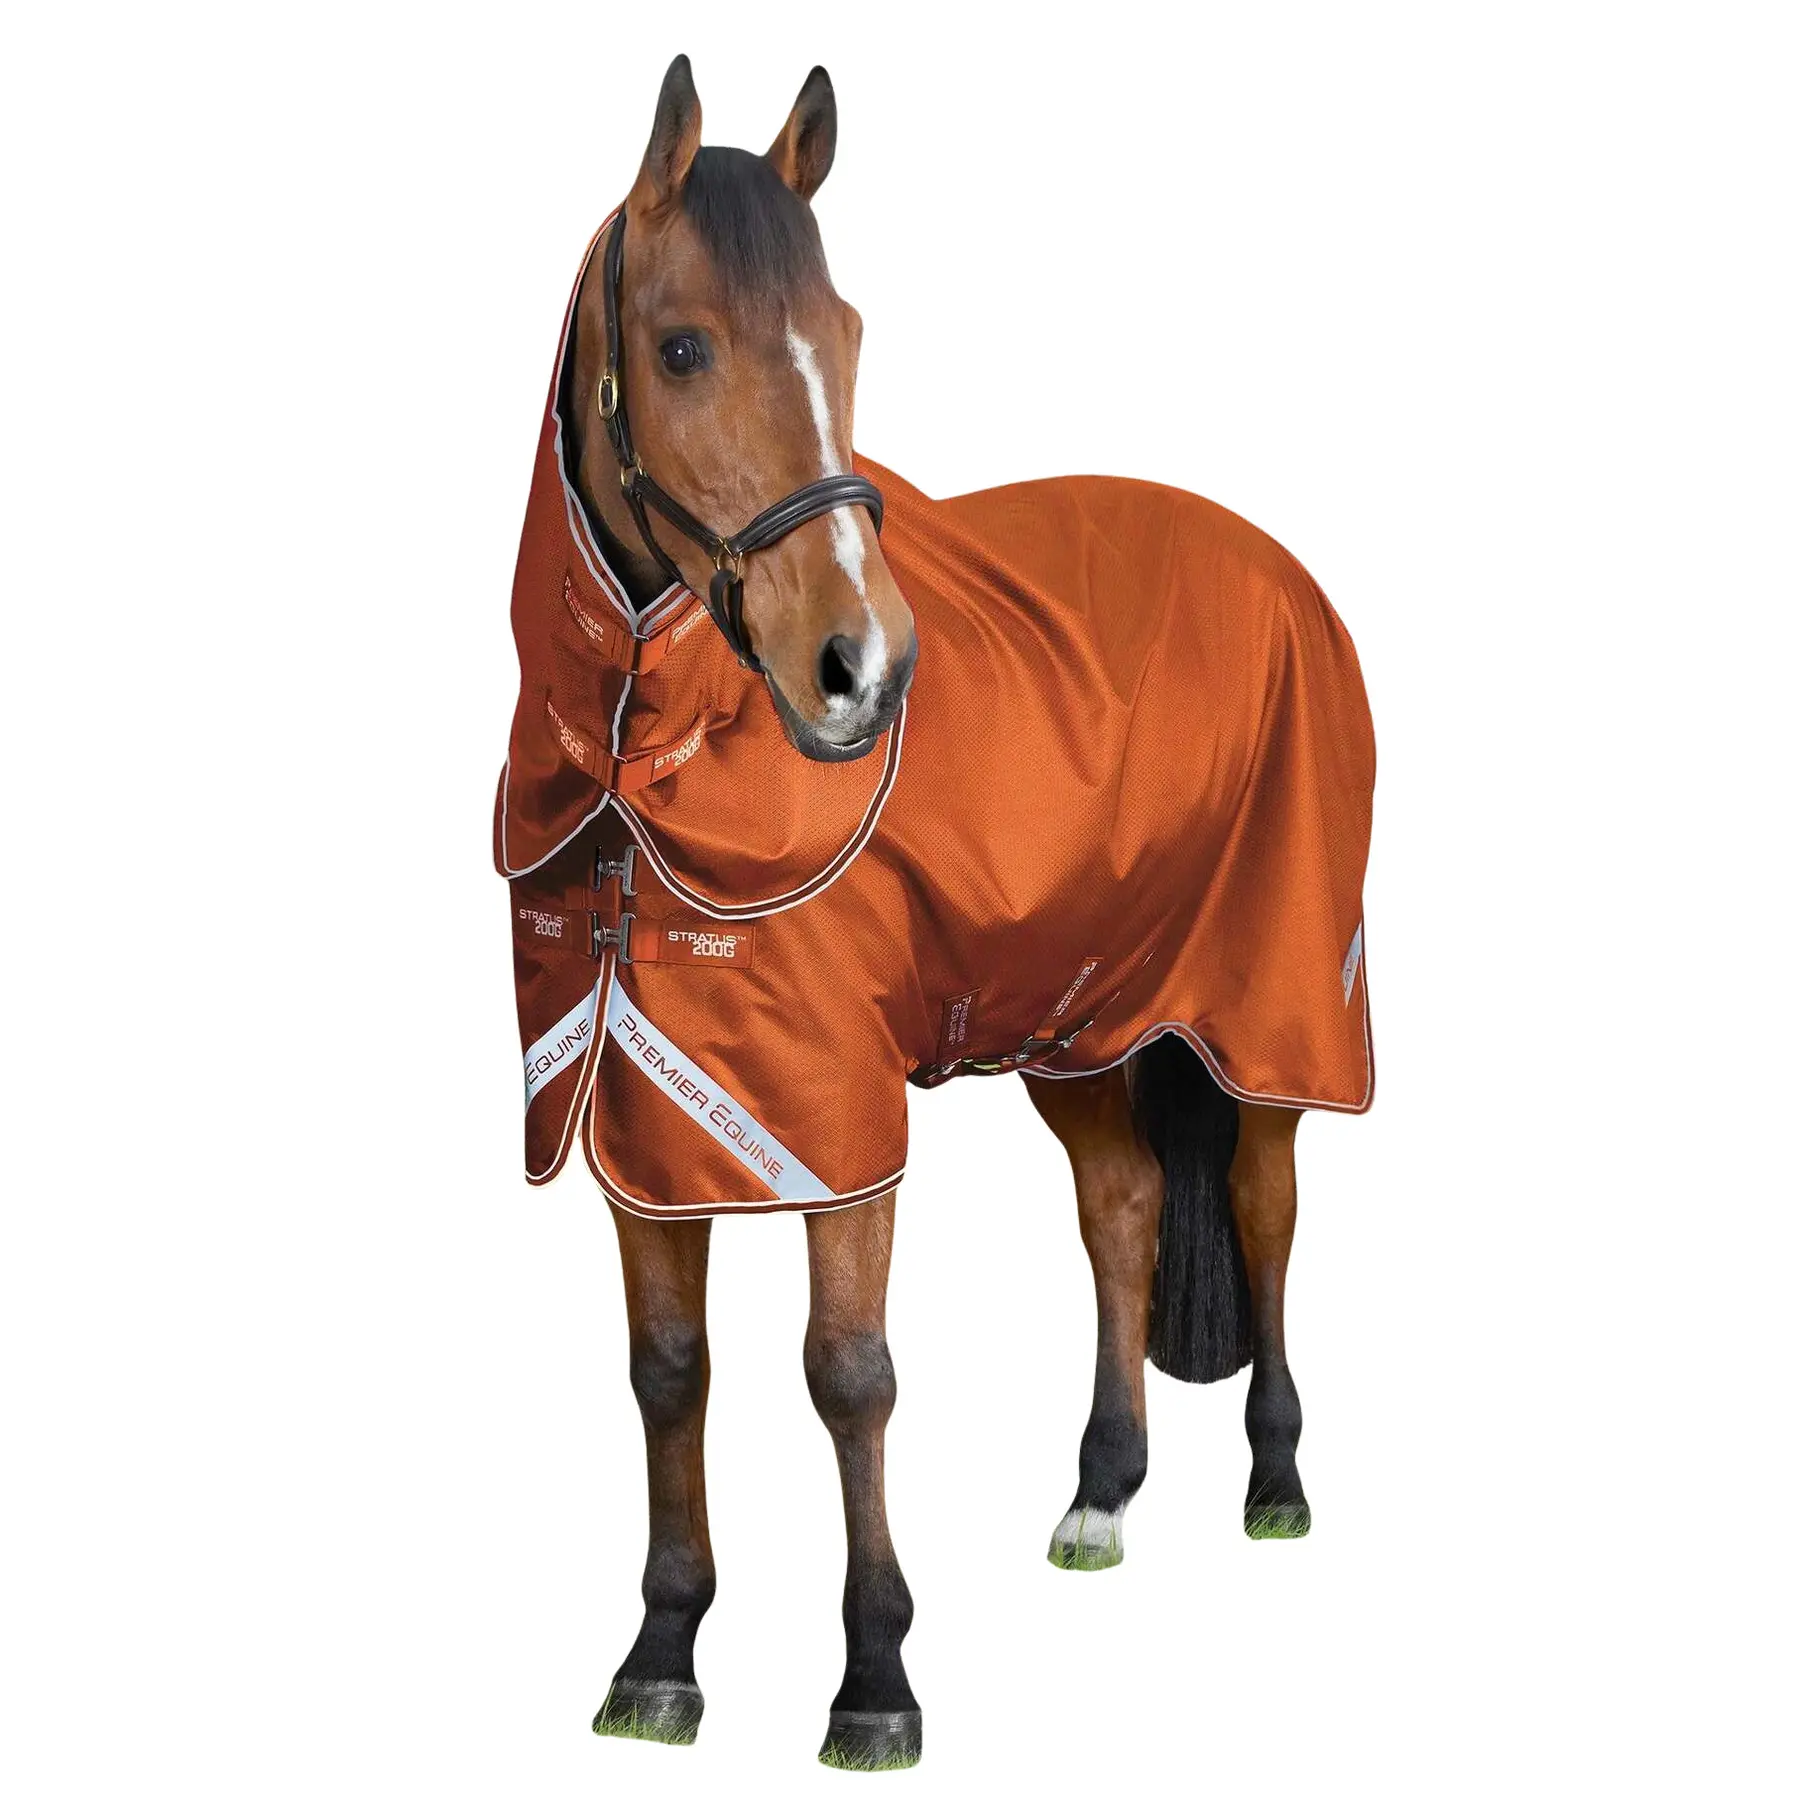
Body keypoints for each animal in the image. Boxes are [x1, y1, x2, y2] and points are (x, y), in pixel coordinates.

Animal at [495, 55, 1375, 1771]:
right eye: (683, 345)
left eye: (845, 337)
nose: (864, 670)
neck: (651, 764)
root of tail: (1276, 566)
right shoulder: (643, 1109)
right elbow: (668, 1373)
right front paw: (661, 1655)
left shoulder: (830, 1118)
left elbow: (848, 1374)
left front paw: (875, 1679)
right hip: (1084, 1022)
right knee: (1121, 1209)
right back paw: (1101, 1497)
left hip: (1269, 1006)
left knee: (1263, 1200)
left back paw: (1278, 1481)